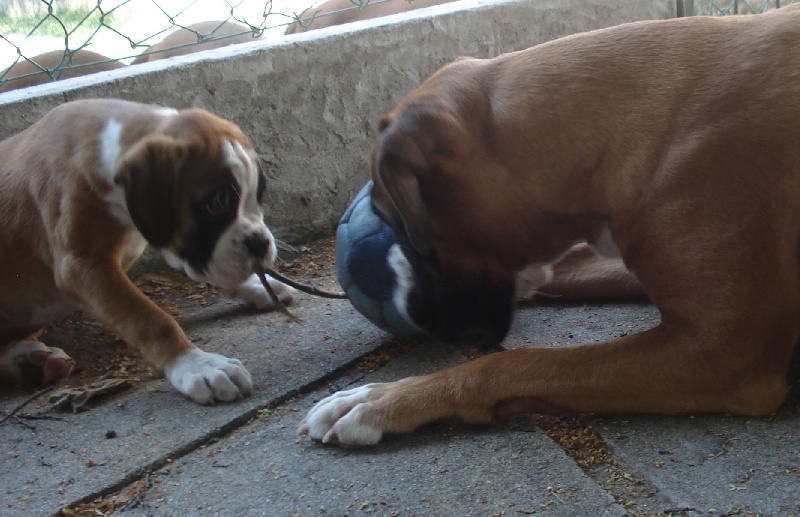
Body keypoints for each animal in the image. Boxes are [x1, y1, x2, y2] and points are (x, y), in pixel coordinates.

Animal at [0, 98, 294, 404]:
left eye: (259, 194)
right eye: (216, 203)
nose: (260, 242)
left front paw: (256, 286)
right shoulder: (84, 266)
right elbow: (148, 318)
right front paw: (196, 364)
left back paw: (30, 362)